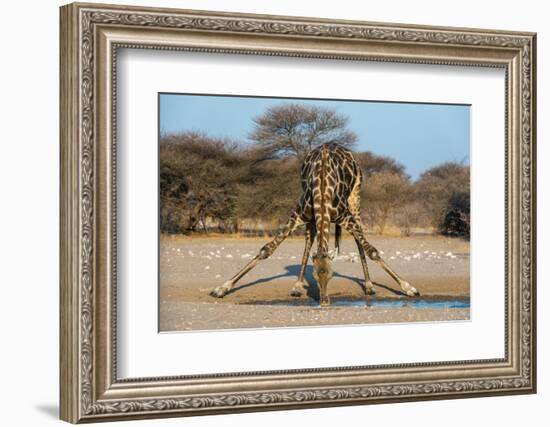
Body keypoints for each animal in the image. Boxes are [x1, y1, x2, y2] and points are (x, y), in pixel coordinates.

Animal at [209, 144, 420, 308]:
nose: (324, 302)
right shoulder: (298, 214)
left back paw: (369, 286)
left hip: (355, 199)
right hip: (312, 219)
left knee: (359, 241)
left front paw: (410, 288)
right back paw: (296, 286)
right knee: (308, 243)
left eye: (332, 276)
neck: (323, 188)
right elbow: (266, 250)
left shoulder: (345, 216)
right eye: (316, 278)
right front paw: (221, 288)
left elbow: (372, 251)